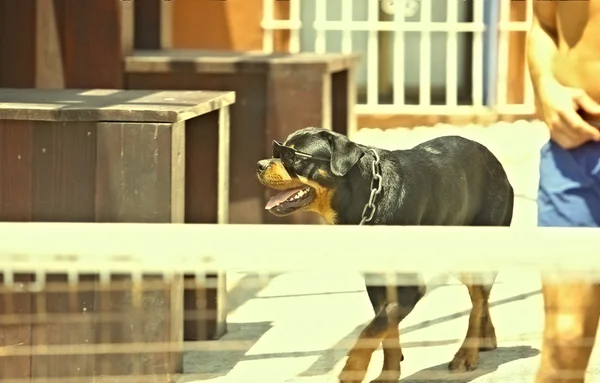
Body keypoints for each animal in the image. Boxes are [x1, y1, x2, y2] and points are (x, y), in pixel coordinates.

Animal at [255, 127, 512, 382]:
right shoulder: (377, 281)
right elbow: (387, 327)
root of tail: (498, 166)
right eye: (277, 151)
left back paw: (467, 354)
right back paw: (487, 337)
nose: (259, 164)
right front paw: (388, 373)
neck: (364, 198)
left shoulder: (410, 287)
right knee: (480, 295)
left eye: (292, 157)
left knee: (478, 299)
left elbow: (374, 327)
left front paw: (353, 368)